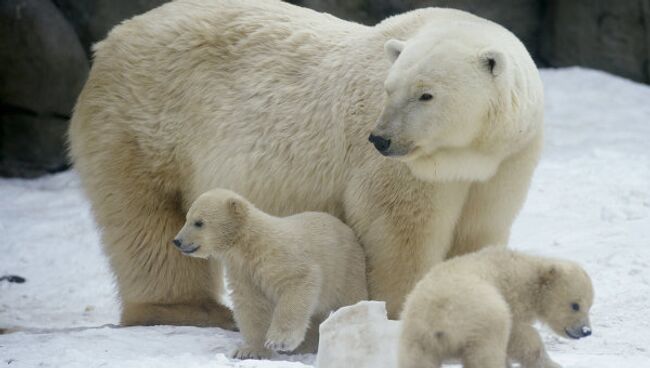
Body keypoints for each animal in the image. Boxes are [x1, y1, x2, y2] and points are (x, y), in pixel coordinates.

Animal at [67, 0, 540, 326]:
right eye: (389, 89)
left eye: (426, 94)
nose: (381, 138)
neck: (463, 152)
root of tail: (110, 41)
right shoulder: (403, 169)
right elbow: (400, 233)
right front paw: (402, 310)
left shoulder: (505, 162)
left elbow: (478, 231)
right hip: (143, 126)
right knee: (146, 219)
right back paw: (189, 309)